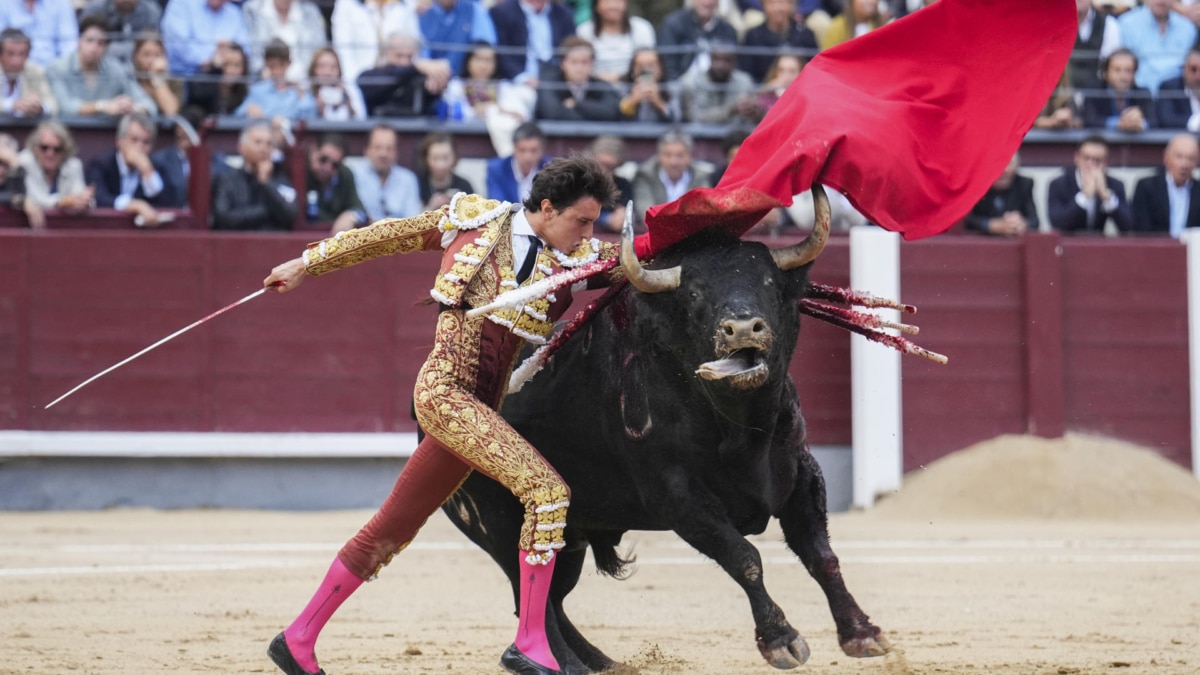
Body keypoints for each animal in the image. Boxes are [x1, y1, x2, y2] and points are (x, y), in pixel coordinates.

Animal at [446, 186, 888, 667]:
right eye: (694, 294)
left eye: (769, 284)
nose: (742, 329)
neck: (739, 426)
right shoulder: (678, 497)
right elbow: (745, 557)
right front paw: (781, 640)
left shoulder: (803, 475)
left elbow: (821, 555)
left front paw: (862, 632)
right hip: (501, 522)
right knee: (532, 592)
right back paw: (560, 663)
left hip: (573, 535)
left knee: (554, 597)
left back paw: (601, 663)